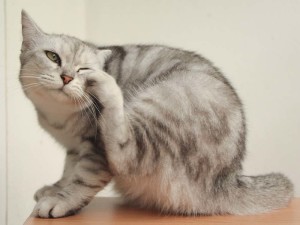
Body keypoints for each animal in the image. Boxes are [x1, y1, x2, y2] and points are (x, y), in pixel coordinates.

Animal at [19, 10, 292, 218]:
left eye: (83, 69)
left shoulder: (95, 151)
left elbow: (82, 179)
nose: (67, 77)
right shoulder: (74, 149)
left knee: (126, 153)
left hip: (161, 105)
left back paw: (109, 87)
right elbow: (68, 172)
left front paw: (61, 200)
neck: (58, 117)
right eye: (53, 57)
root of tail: (229, 178)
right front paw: (55, 188)